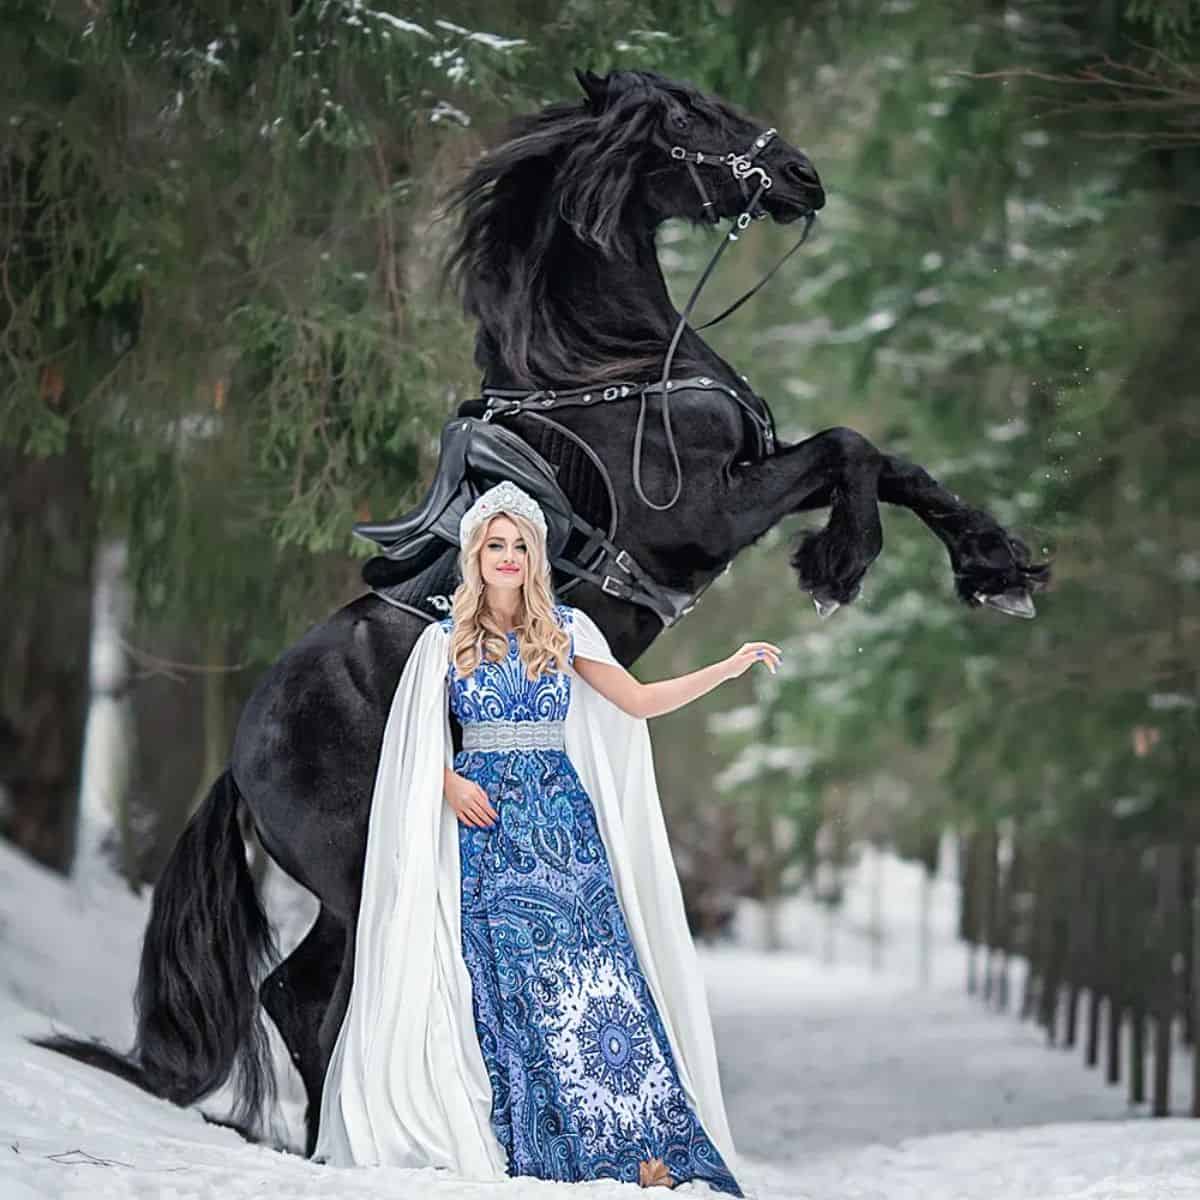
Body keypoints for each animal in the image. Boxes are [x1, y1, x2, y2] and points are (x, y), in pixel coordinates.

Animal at [35, 68, 1051, 1152]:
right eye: (687, 115)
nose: (802, 175)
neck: (610, 368)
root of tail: (240, 761)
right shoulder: (708, 516)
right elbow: (853, 447)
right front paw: (840, 564)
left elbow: (897, 465)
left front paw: (998, 568)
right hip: (366, 872)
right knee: (321, 1002)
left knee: (296, 1000)